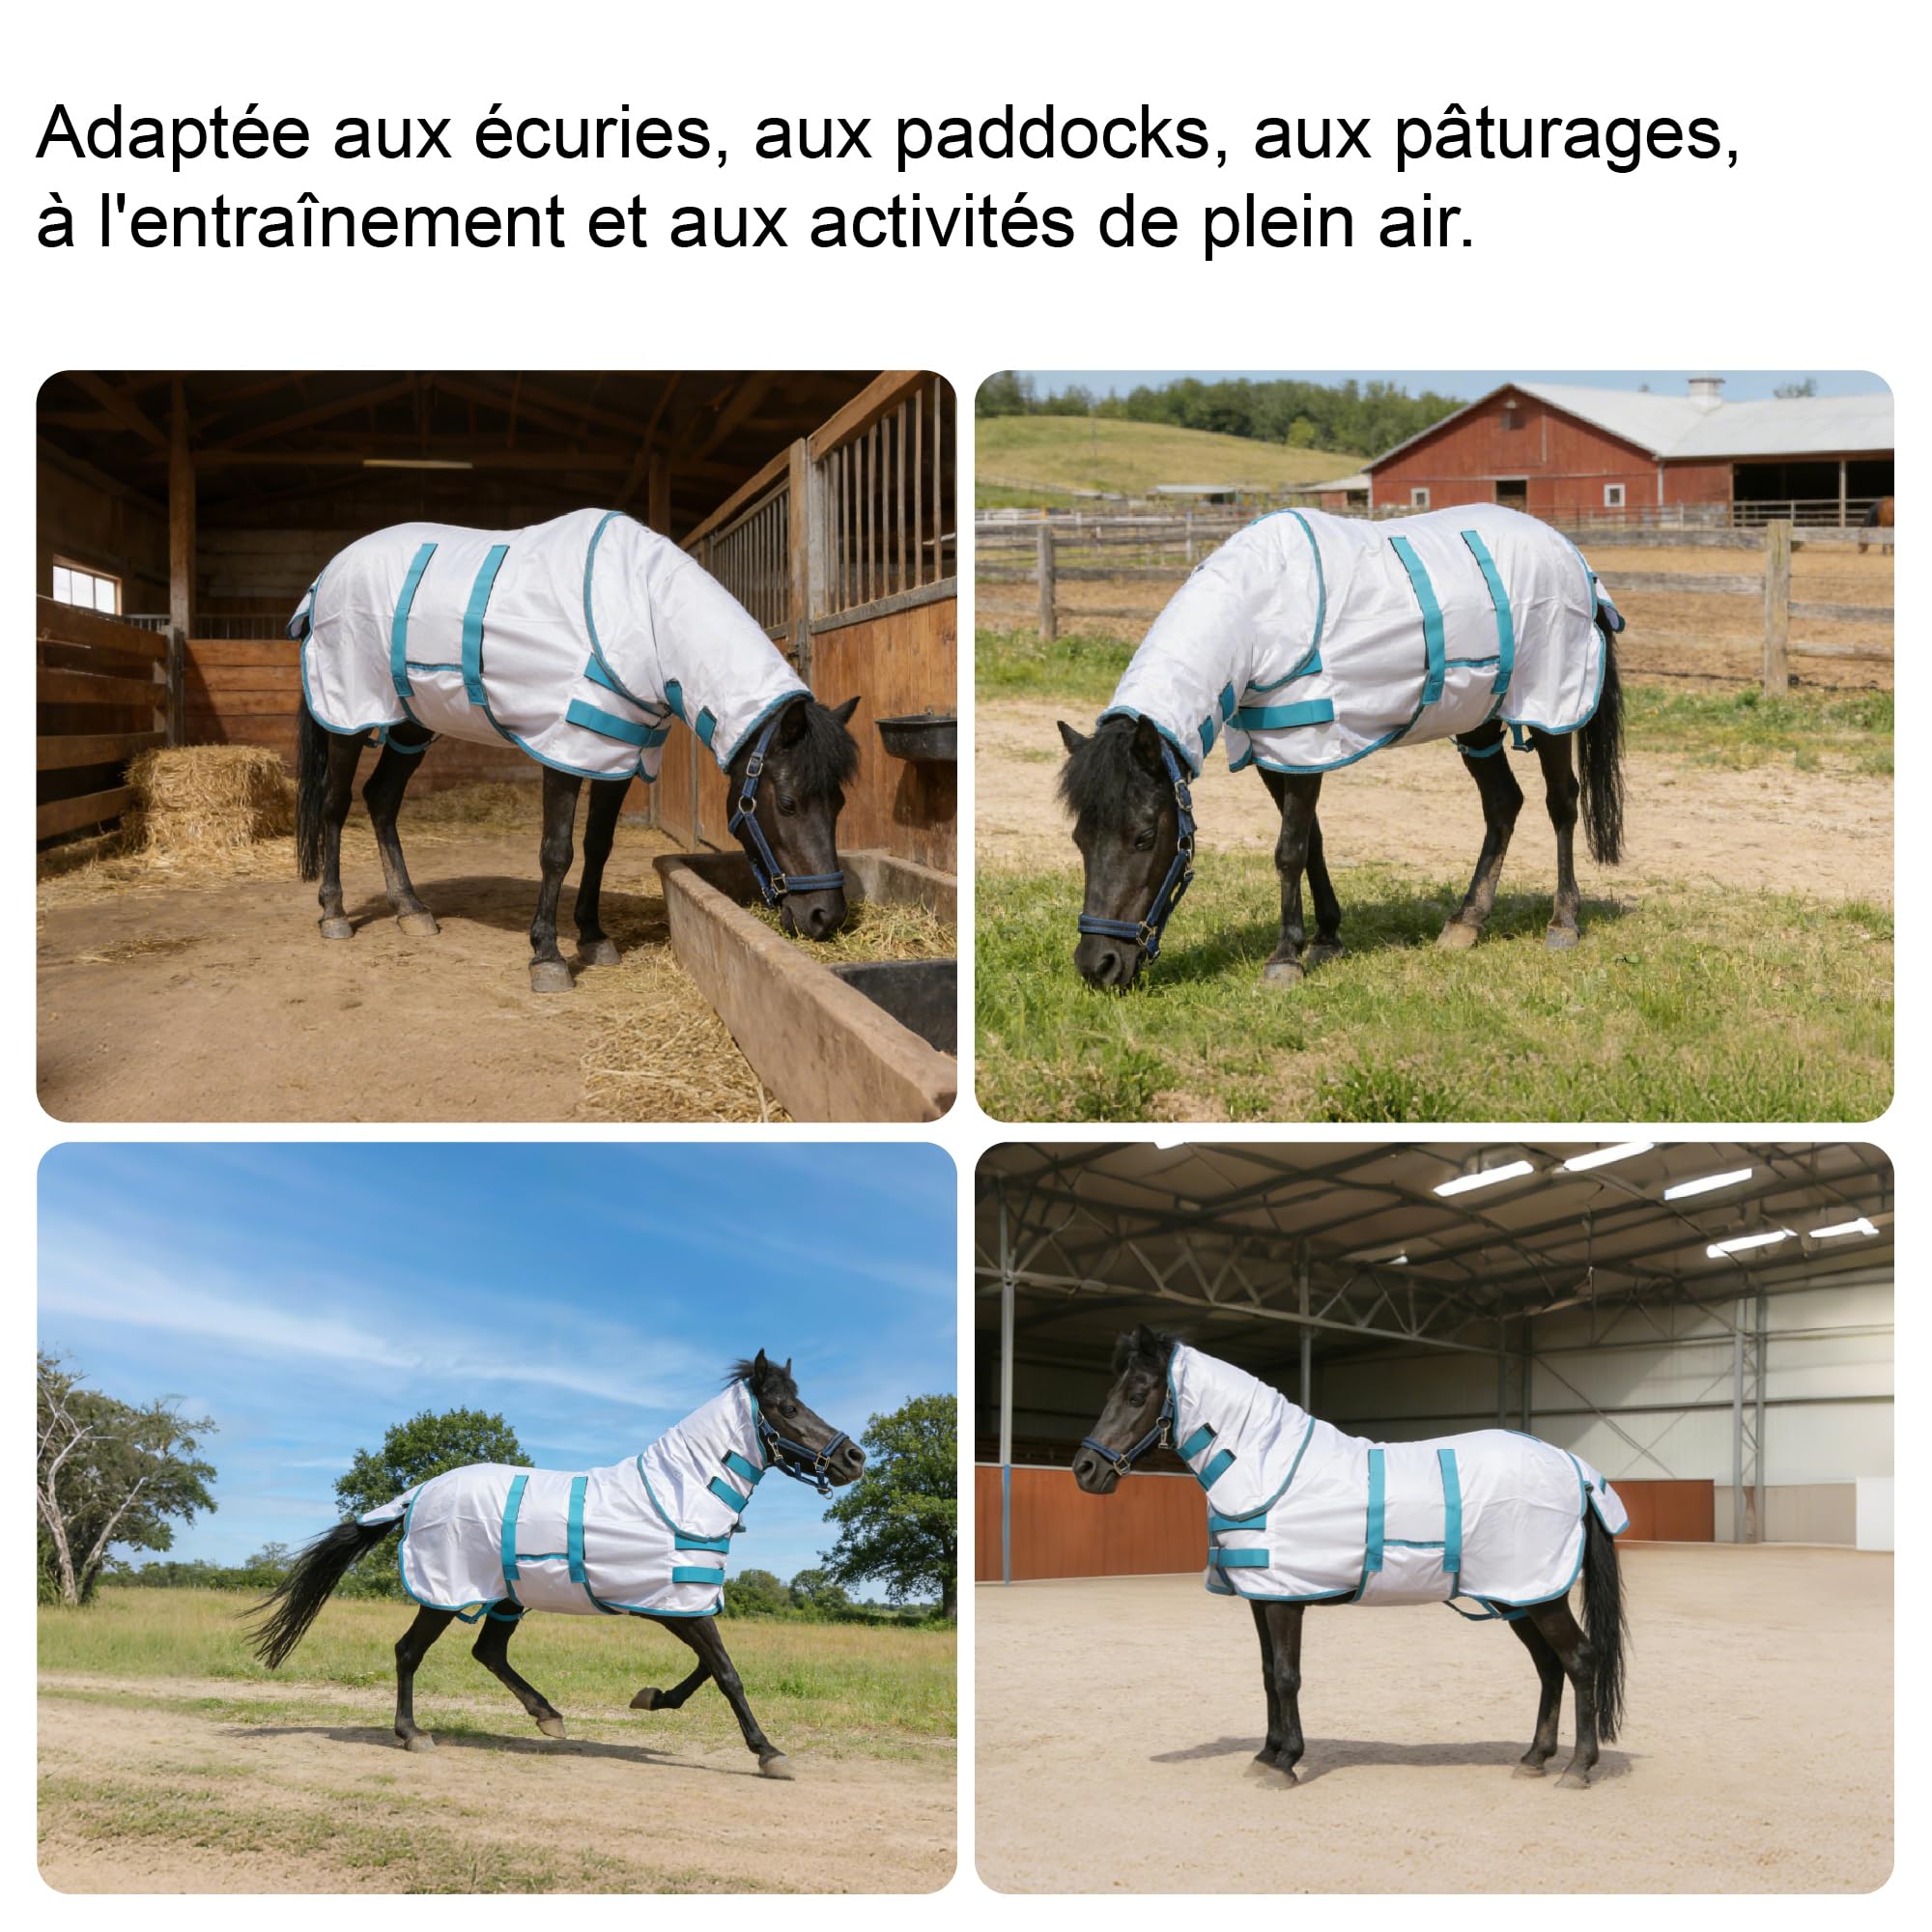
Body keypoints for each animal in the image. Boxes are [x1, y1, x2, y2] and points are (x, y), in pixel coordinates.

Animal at [248, 1351, 863, 1778]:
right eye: (787, 1408)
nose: (854, 1457)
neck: (678, 1495)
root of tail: (420, 1490)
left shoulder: (679, 1603)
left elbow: (712, 1670)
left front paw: (652, 1698)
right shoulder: (674, 1606)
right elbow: (728, 1673)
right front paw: (769, 1753)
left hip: (508, 1598)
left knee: (488, 1652)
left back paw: (547, 1715)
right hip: (446, 1595)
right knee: (408, 1652)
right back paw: (412, 1733)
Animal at [291, 507, 861, 992]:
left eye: (839, 803)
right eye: (786, 803)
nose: (826, 918)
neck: (642, 612)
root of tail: (324, 582)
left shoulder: (617, 753)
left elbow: (597, 846)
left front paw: (593, 936)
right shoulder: (565, 749)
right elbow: (557, 851)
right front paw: (547, 956)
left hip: (412, 726)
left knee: (382, 799)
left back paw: (411, 910)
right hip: (348, 716)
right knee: (336, 805)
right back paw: (333, 913)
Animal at [1055, 505, 1626, 991]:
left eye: (1144, 837)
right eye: (1080, 838)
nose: (1097, 966)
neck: (1258, 611)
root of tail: (1574, 559)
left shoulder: (1306, 744)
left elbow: (1288, 850)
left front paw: (1285, 958)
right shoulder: (1276, 752)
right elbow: (1312, 842)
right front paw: (1326, 937)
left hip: (1551, 707)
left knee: (1561, 803)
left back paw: (1563, 921)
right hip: (1476, 716)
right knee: (1503, 803)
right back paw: (1466, 922)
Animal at [1073, 1327, 1629, 1788]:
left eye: (1137, 1396)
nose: (1084, 1469)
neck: (1266, 1467)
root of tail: (1571, 1465)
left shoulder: (1284, 1601)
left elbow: (1287, 1676)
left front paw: (1287, 1762)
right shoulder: (1260, 1597)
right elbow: (1267, 1673)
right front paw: (1266, 1754)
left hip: (1540, 1596)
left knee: (1580, 1661)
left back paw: (1578, 1768)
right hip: (1519, 1598)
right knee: (1549, 1666)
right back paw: (1534, 1758)